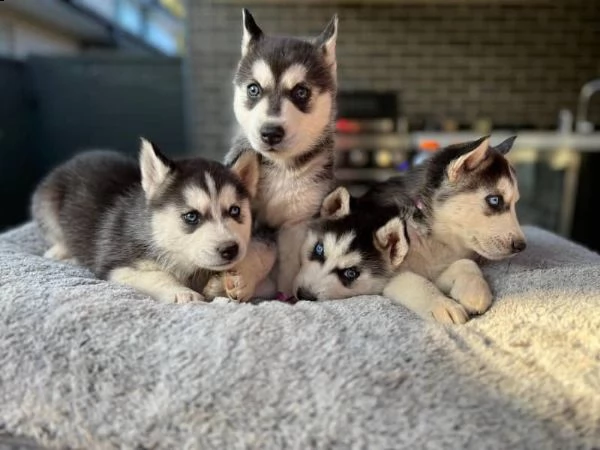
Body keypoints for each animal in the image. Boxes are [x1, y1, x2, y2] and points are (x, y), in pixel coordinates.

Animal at [32, 139, 262, 304]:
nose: (229, 249)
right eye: (191, 216)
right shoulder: (118, 265)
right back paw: (63, 253)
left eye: (235, 211)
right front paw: (182, 292)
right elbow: (157, 276)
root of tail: (79, 156)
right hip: (46, 202)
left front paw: (239, 282)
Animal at [224, 8, 340, 298]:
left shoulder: (298, 222)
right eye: (253, 89)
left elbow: (287, 257)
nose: (270, 132)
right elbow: (263, 244)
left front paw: (285, 293)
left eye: (301, 91)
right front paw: (242, 278)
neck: (281, 168)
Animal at [360, 135, 524, 322]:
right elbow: (413, 280)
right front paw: (443, 304)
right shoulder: (377, 277)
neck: (434, 236)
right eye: (495, 200)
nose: (521, 245)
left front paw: (474, 291)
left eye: (515, 202)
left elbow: (465, 263)